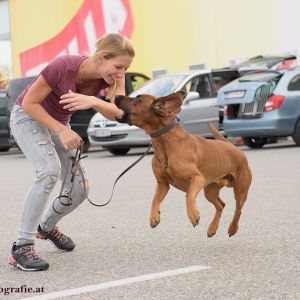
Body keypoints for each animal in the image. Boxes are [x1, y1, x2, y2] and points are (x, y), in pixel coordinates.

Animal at [116, 91, 252, 237]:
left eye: (137, 99)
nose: (116, 96)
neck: (166, 144)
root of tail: (234, 148)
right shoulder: (162, 184)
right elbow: (154, 200)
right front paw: (154, 216)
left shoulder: (198, 178)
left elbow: (188, 196)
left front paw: (193, 214)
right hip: (209, 191)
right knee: (221, 205)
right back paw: (212, 228)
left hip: (240, 191)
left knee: (238, 209)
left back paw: (232, 228)